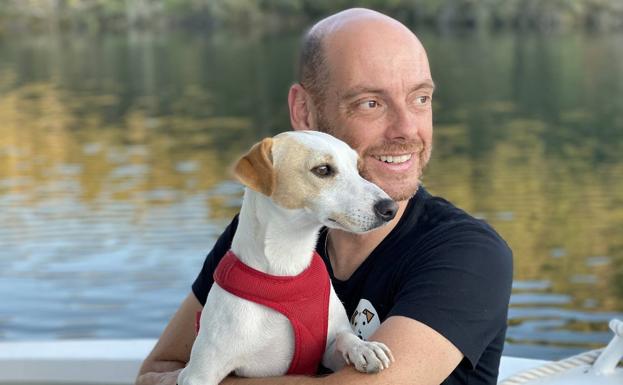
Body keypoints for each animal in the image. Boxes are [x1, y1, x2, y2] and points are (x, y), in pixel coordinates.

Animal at [178, 130, 398, 382]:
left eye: (358, 168)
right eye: (323, 170)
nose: (390, 208)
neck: (286, 271)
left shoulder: (326, 349)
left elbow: (344, 337)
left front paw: (364, 348)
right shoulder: (199, 374)